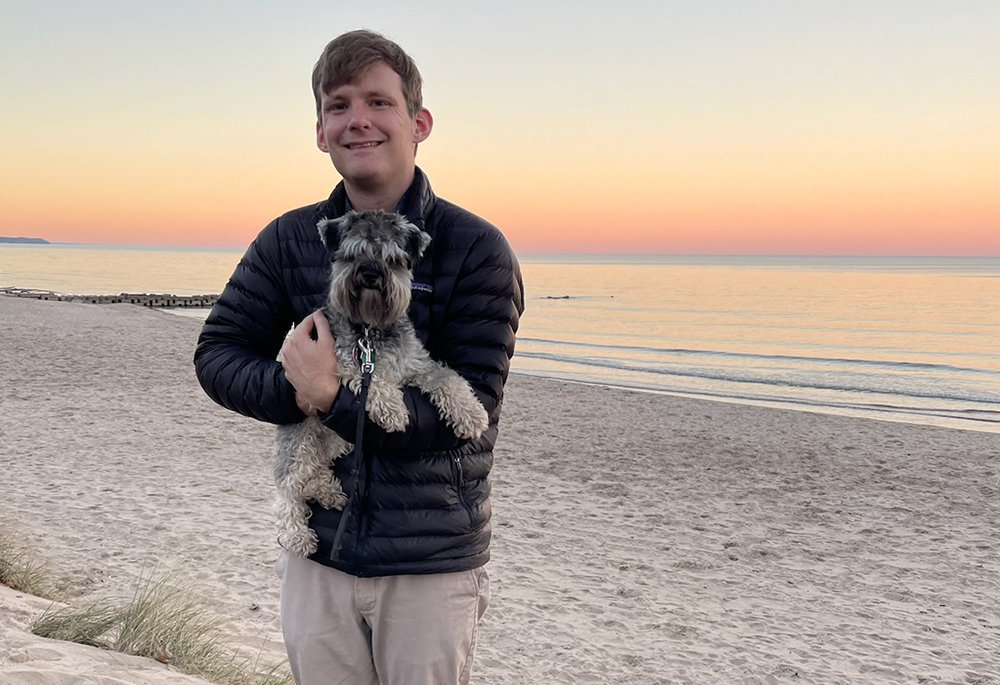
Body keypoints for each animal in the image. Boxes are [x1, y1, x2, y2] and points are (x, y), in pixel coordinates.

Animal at [274, 211, 492, 560]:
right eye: (352, 254)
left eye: (392, 259)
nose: (370, 273)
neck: (370, 329)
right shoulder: (342, 363)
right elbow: (373, 378)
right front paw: (394, 411)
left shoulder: (418, 364)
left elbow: (448, 378)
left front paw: (471, 414)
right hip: (302, 438)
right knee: (290, 488)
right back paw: (298, 534)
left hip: (340, 438)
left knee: (314, 472)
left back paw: (329, 492)